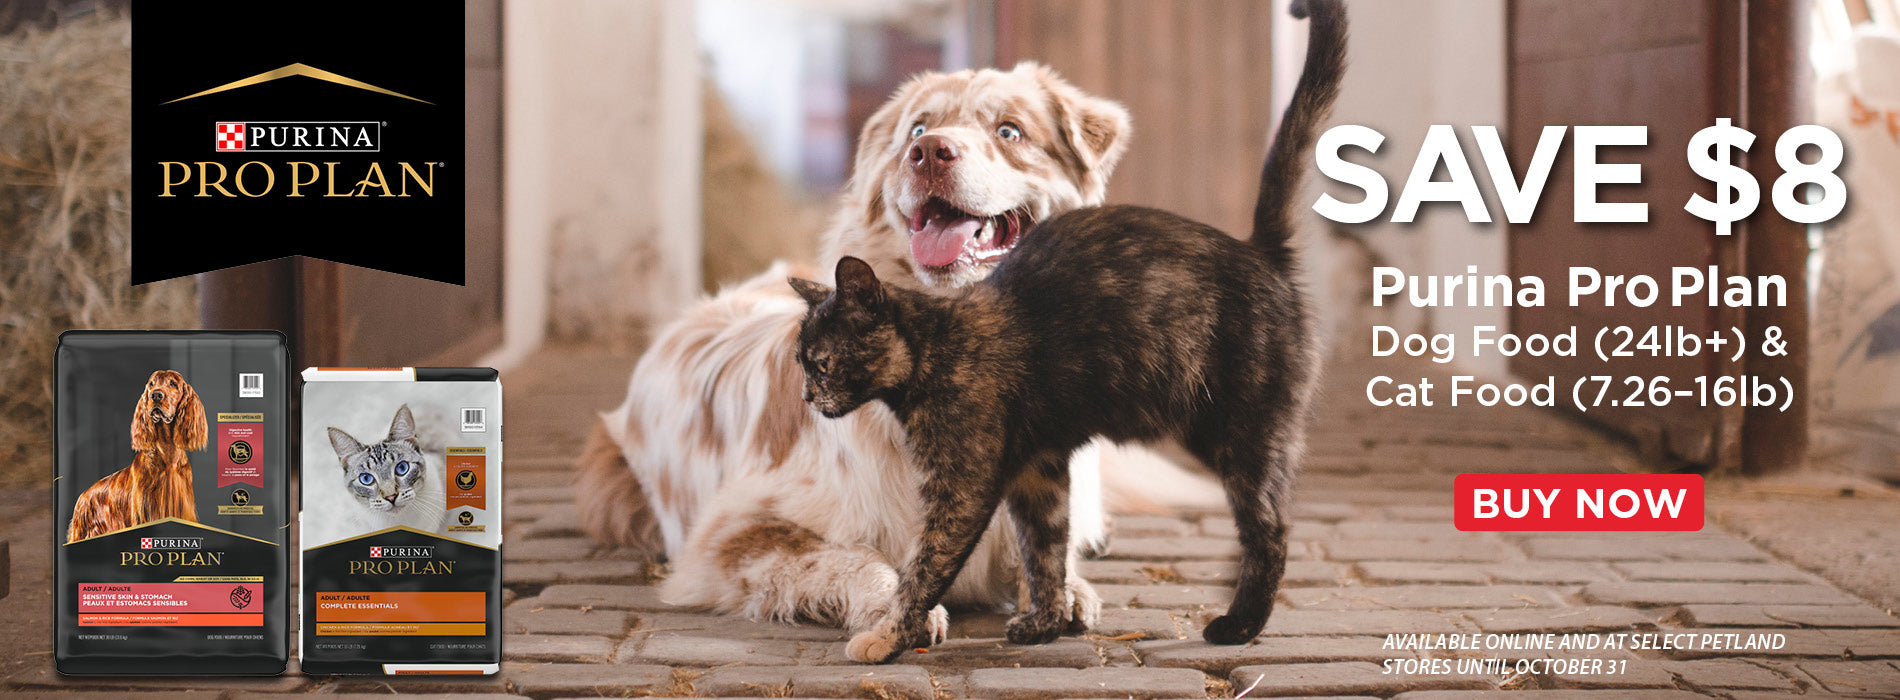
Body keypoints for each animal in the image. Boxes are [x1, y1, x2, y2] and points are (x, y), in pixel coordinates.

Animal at [66, 369, 206, 544]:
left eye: (173, 383)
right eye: (151, 384)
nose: (155, 395)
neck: (168, 458)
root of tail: (82, 496)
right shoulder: (144, 512)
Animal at [573, 62, 1140, 635]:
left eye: (1009, 131)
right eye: (917, 130)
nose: (929, 152)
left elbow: (1044, 548)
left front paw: (1064, 590)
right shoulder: (731, 533)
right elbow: (856, 560)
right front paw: (894, 611)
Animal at [786, 0, 1352, 661]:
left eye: (821, 363)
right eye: (801, 363)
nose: (807, 397)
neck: (937, 344)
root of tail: (1257, 251)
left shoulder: (963, 485)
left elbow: (923, 567)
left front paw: (887, 636)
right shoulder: (1039, 470)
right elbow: (1045, 551)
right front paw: (1046, 621)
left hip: (1242, 432)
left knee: (1271, 529)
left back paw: (1238, 625)